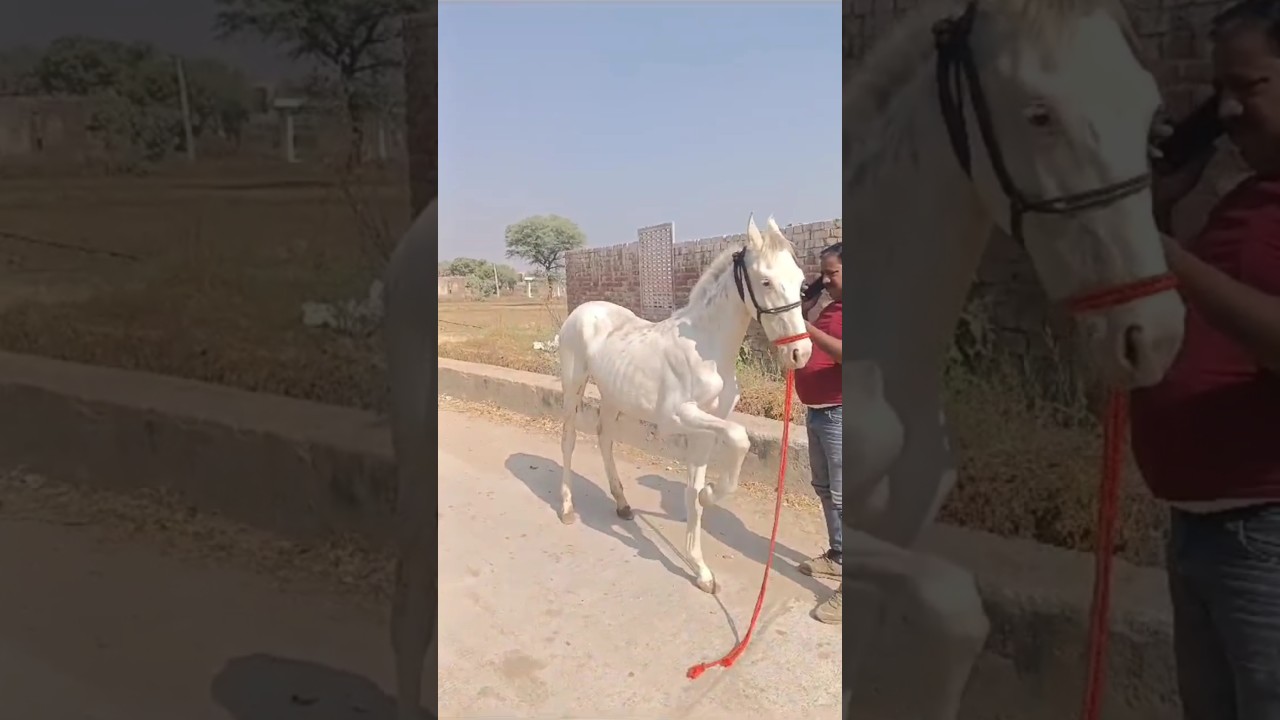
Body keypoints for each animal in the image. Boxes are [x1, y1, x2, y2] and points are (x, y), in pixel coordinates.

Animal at [555, 214, 814, 594]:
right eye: (766, 281)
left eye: (800, 282)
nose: (800, 352)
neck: (707, 349)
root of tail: (583, 311)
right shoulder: (676, 418)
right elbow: (739, 438)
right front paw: (710, 495)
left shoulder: (706, 427)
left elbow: (693, 490)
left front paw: (701, 568)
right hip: (573, 386)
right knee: (570, 439)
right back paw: (567, 507)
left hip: (613, 395)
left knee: (604, 438)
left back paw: (622, 504)